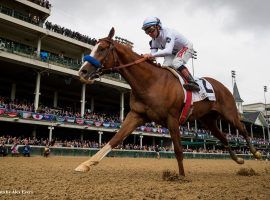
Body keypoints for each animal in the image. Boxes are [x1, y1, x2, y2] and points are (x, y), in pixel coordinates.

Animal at [75, 27, 260, 175]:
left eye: (102, 48)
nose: (82, 71)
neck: (151, 82)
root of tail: (221, 85)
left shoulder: (172, 118)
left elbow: (178, 149)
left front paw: (181, 176)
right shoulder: (136, 115)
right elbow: (115, 139)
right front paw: (86, 164)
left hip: (229, 113)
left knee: (243, 129)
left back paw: (256, 153)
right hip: (208, 121)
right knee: (223, 137)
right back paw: (239, 159)